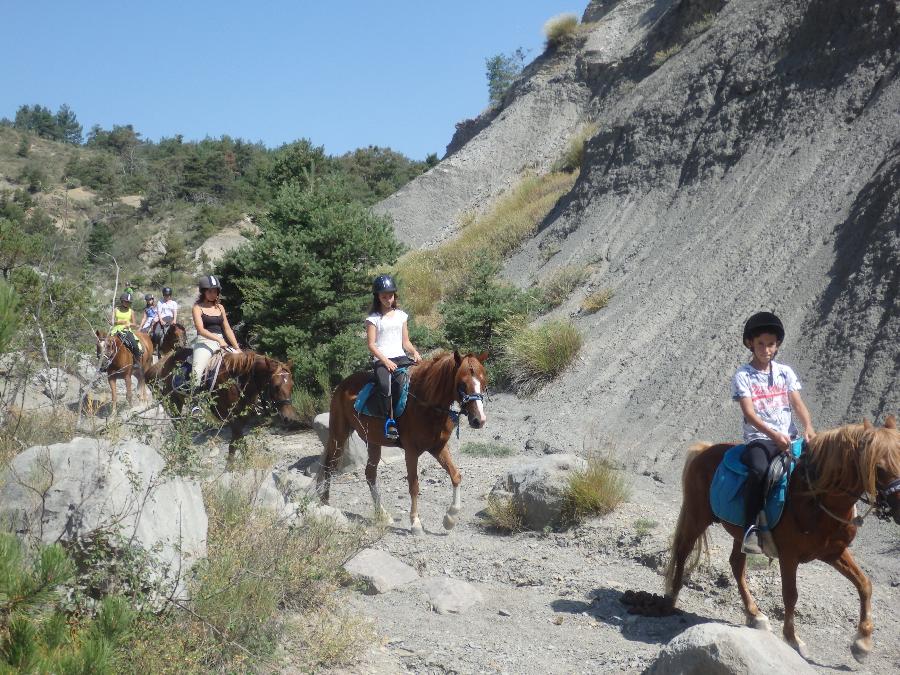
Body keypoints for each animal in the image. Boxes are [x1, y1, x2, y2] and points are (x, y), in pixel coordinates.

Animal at [147, 346, 298, 462]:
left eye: (292, 385)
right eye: (276, 386)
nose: (289, 418)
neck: (239, 380)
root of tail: (166, 360)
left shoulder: (242, 418)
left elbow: (239, 441)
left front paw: (245, 462)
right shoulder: (231, 418)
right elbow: (236, 442)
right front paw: (230, 467)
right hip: (174, 401)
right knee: (177, 424)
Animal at [314, 352, 486, 536]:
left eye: (484, 382)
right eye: (462, 383)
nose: (479, 420)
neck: (426, 404)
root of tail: (342, 385)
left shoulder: (438, 448)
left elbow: (455, 476)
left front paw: (450, 518)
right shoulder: (411, 452)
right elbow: (414, 486)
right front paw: (416, 523)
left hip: (373, 442)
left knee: (369, 474)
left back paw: (382, 514)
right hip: (339, 435)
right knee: (329, 465)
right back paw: (325, 503)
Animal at [660, 420, 900, 664]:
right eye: (879, 467)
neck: (815, 497)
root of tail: (704, 450)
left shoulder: (834, 552)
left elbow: (864, 584)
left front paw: (863, 643)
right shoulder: (788, 556)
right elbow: (790, 595)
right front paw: (794, 640)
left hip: (739, 534)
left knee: (736, 565)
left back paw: (755, 615)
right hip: (697, 517)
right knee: (683, 550)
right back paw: (671, 596)